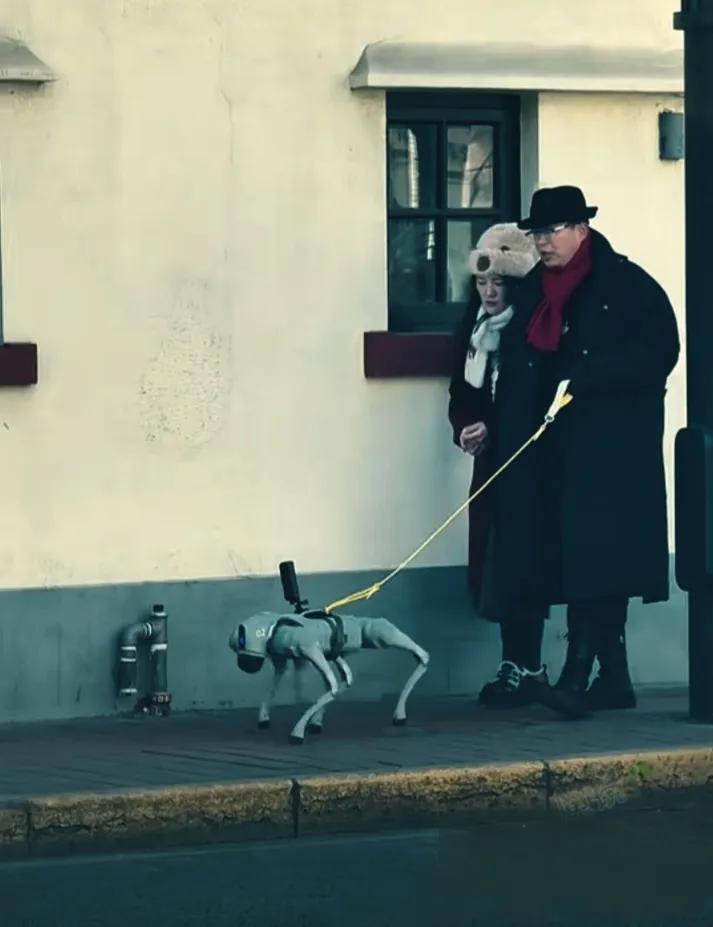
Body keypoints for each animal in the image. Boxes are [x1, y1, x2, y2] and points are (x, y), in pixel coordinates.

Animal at [228, 560, 428, 744]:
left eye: (242, 643)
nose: (243, 664)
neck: (272, 630)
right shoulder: (281, 656)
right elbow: (278, 682)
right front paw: (264, 717)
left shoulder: (304, 645)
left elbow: (332, 687)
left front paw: (297, 731)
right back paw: (317, 722)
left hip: (374, 633)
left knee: (413, 649)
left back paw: (400, 711)